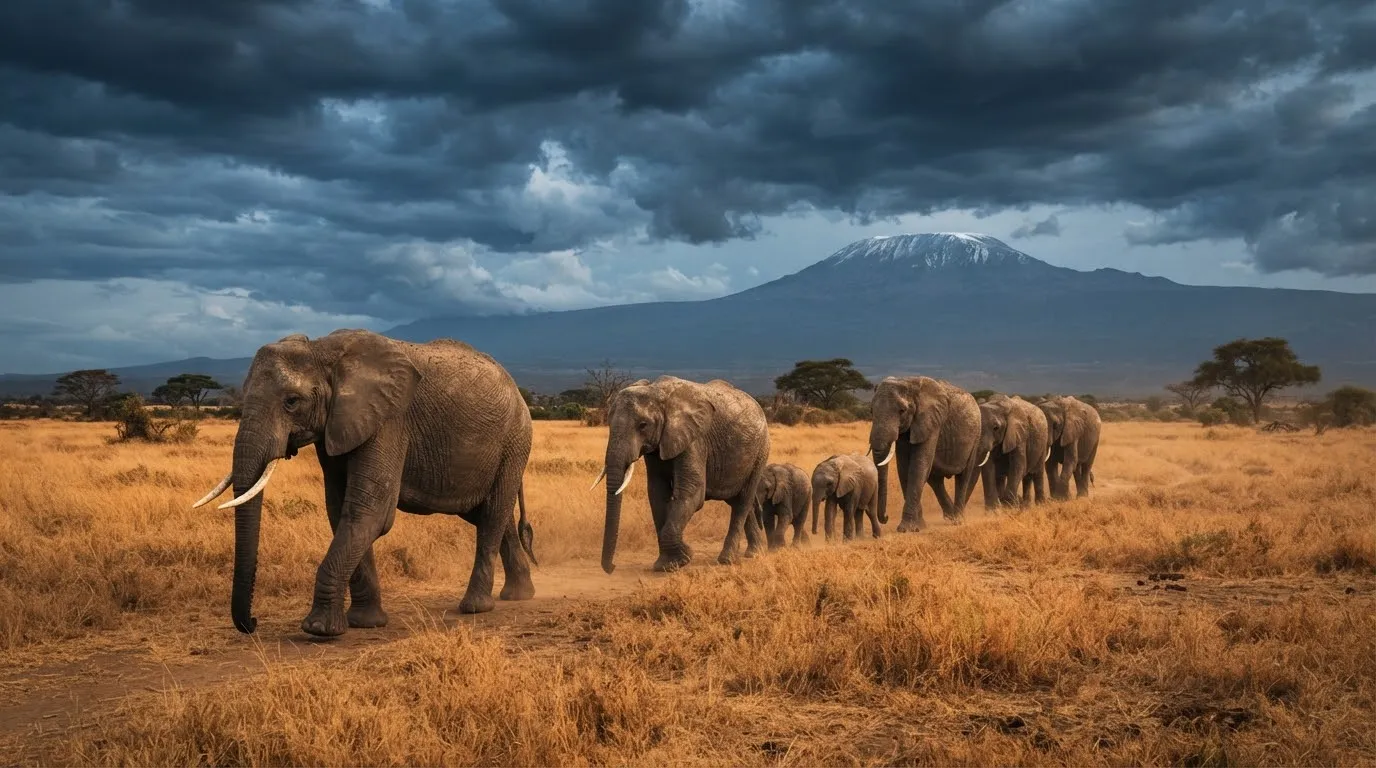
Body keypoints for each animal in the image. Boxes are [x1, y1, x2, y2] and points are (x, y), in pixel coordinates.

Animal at [190, 329, 538, 637]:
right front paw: (364, 623)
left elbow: (370, 513)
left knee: (493, 515)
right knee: (491, 515)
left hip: (515, 441)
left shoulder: (389, 420)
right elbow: (340, 510)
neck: (323, 351)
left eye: (291, 401)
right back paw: (519, 595)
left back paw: (476, 607)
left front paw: (319, 629)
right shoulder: (336, 425)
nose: (253, 622)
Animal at [593, 375, 770, 573]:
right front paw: (666, 565)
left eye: (643, 425)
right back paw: (755, 554)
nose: (612, 567)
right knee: (739, 501)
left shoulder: (695, 439)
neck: (657, 392)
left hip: (760, 452)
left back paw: (727, 559)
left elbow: (692, 492)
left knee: (742, 502)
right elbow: (657, 493)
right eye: (609, 423)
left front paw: (683, 557)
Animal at [868, 376, 982, 532]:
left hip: (976, 435)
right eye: (871, 411)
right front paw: (919, 526)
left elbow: (917, 467)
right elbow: (904, 469)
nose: (886, 517)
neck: (908, 381)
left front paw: (905, 529)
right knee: (935, 480)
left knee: (963, 476)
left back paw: (957, 520)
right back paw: (950, 515)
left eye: (902, 410)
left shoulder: (931, 422)